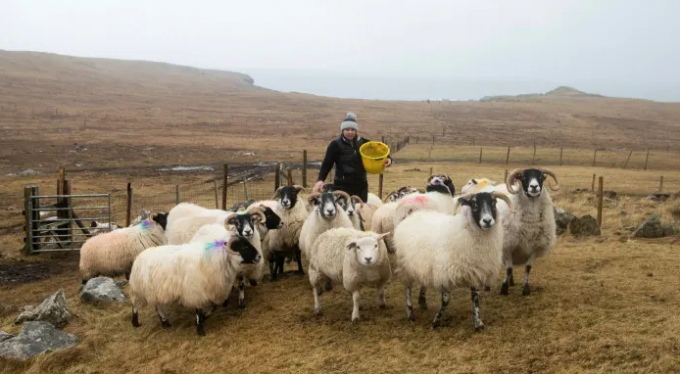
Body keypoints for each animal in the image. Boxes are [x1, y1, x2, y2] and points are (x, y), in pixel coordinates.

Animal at [128, 225, 260, 336]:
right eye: (243, 246)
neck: (217, 258)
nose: (259, 257)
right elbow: (199, 310)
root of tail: (138, 257)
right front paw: (200, 328)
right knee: (135, 305)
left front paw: (205, 316)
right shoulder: (195, 290)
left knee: (157, 306)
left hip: (154, 291)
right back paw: (136, 322)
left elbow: (214, 306)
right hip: (140, 290)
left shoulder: (210, 288)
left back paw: (165, 322)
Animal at [390, 193, 512, 330]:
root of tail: (413, 214)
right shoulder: (444, 273)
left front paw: (478, 323)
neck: (465, 230)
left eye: (494, 202)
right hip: (405, 266)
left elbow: (475, 299)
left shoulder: (475, 271)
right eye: (474, 204)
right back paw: (410, 313)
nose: (487, 221)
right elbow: (446, 300)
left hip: (422, 264)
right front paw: (436, 321)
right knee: (408, 288)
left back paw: (422, 302)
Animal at [500, 168, 556, 296]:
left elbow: (528, 268)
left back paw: (511, 282)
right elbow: (509, 268)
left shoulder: (535, 247)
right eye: (524, 177)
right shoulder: (507, 246)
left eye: (541, 177)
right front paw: (504, 288)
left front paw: (526, 288)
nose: (534, 187)